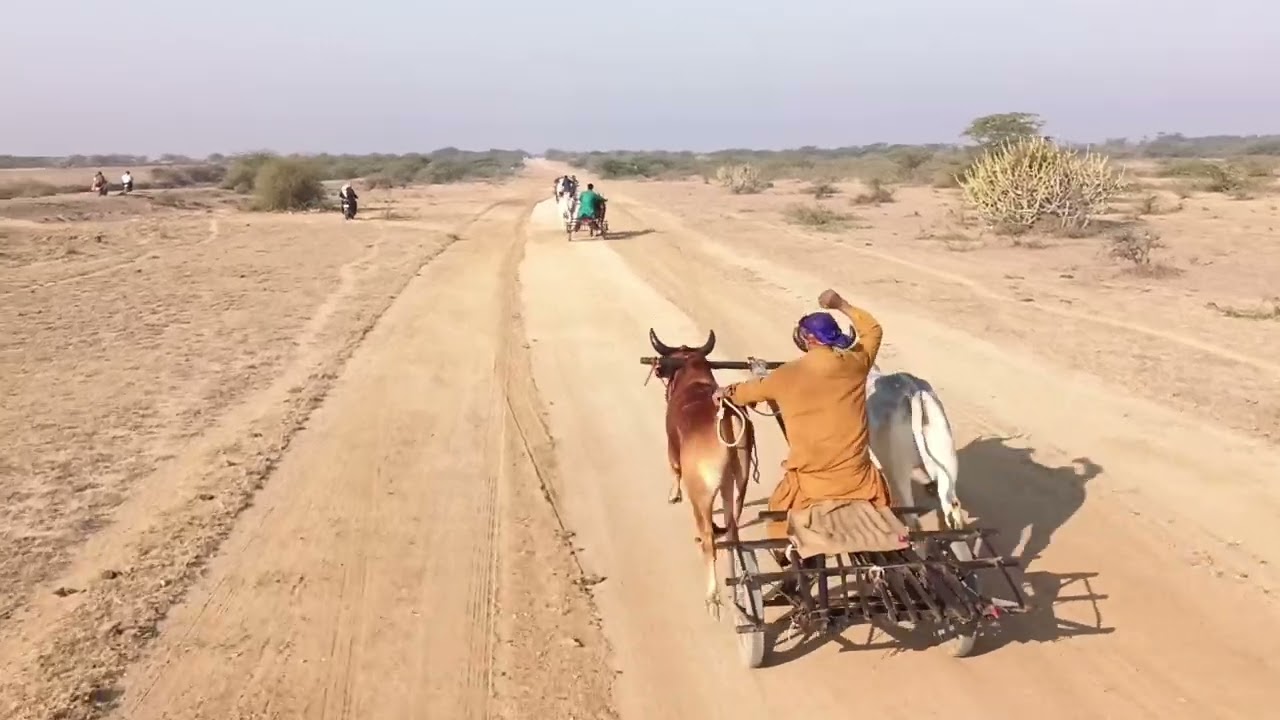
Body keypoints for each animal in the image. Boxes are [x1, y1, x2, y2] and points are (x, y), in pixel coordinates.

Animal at [649, 328, 756, 619]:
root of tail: (726, 416)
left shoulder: (672, 448)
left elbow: (674, 469)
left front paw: (673, 494)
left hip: (702, 493)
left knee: (709, 540)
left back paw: (713, 598)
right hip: (738, 483)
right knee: (732, 529)